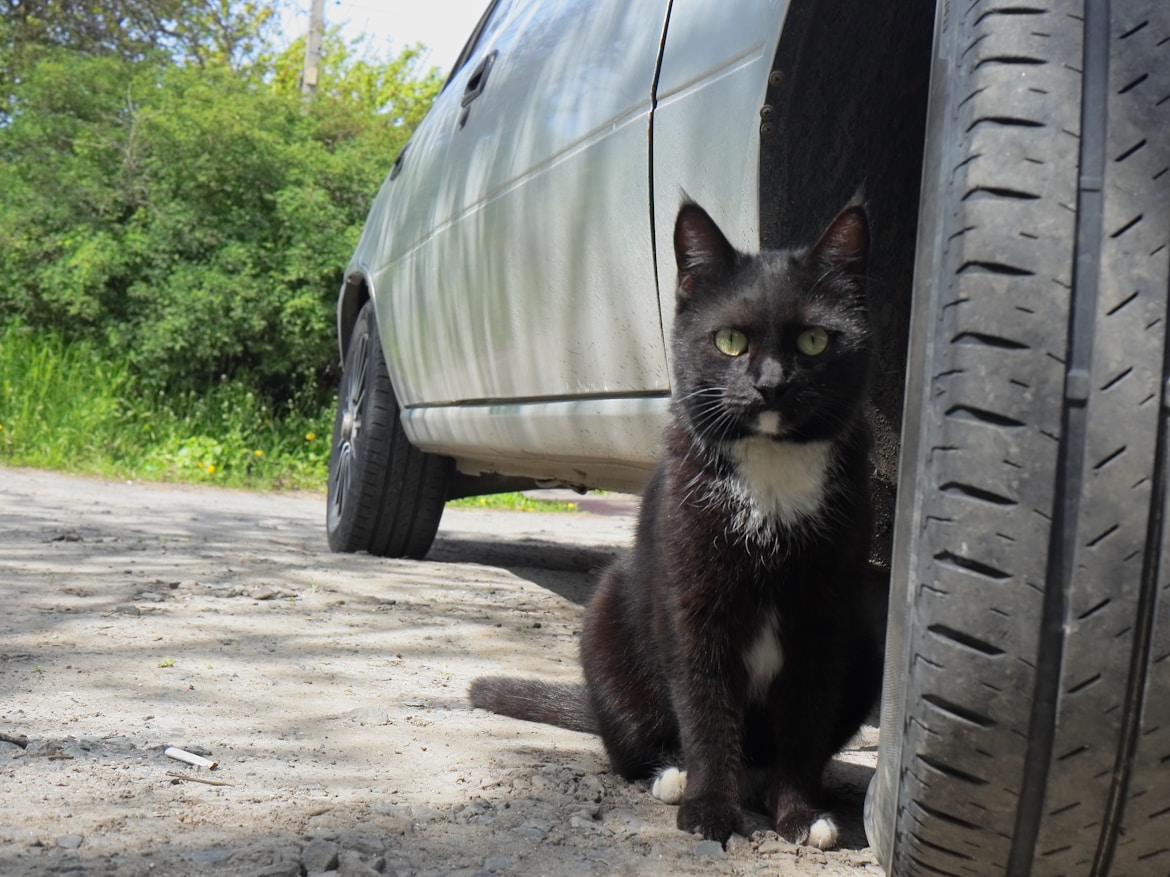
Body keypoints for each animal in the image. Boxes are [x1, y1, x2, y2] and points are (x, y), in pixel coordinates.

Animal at [470, 201, 879, 851]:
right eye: (730, 340)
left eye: (815, 341)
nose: (769, 384)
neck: (771, 476)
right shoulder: (690, 599)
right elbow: (704, 706)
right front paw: (709, 810)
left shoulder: (828, 611)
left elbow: (806, 716)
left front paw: (801, 816)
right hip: (610, 614)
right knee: (629, 748)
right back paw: (672, 776)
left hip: (867, 637)